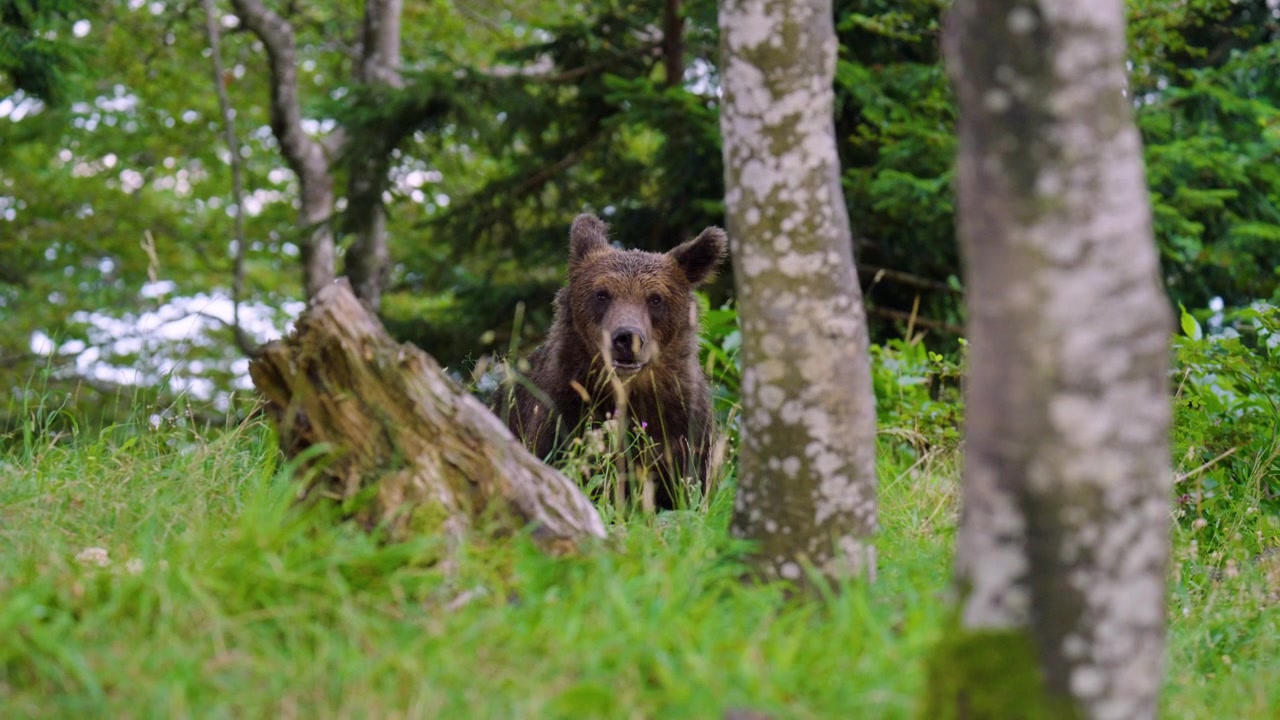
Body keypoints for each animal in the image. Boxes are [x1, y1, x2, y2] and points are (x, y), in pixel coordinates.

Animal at [500, 213, 728, 510]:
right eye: (602, 294)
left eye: (656, 299)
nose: (627, 338)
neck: (629, 390)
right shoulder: (563, 409)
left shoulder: (683, 422)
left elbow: (689, 486)